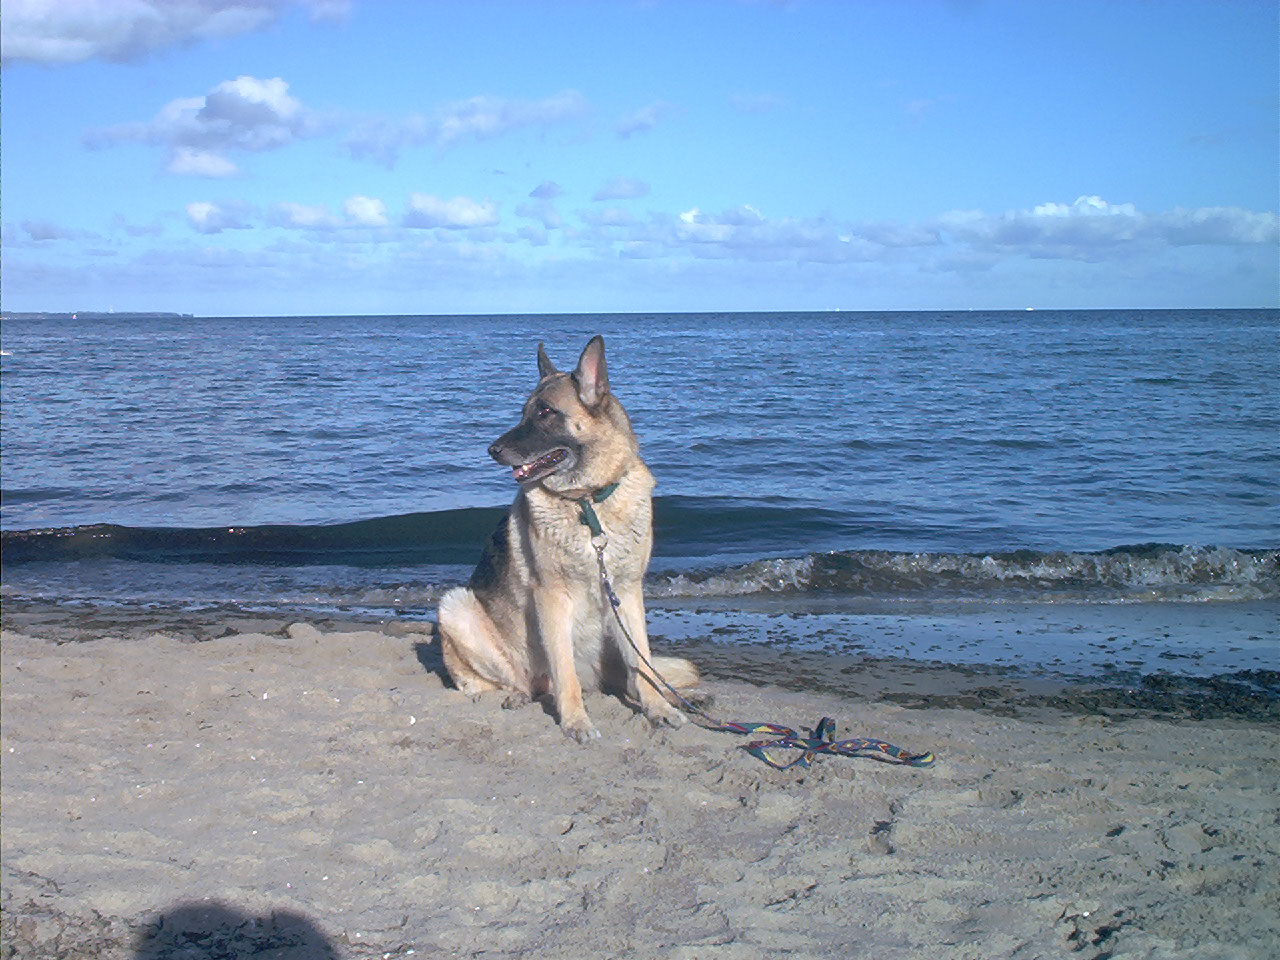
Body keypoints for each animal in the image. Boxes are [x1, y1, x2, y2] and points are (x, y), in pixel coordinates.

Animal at [437, 337, 701, 742]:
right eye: (524, 413)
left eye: (545, 412)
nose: (492, 450)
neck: (589, 503)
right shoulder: (552, 598)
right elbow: (566, 673)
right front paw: (577, 721)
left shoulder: (627, 593)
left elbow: (642, 665)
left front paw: (658, 709)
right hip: (456, 607)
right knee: (509, 681)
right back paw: (515, 694)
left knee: (635, 674)